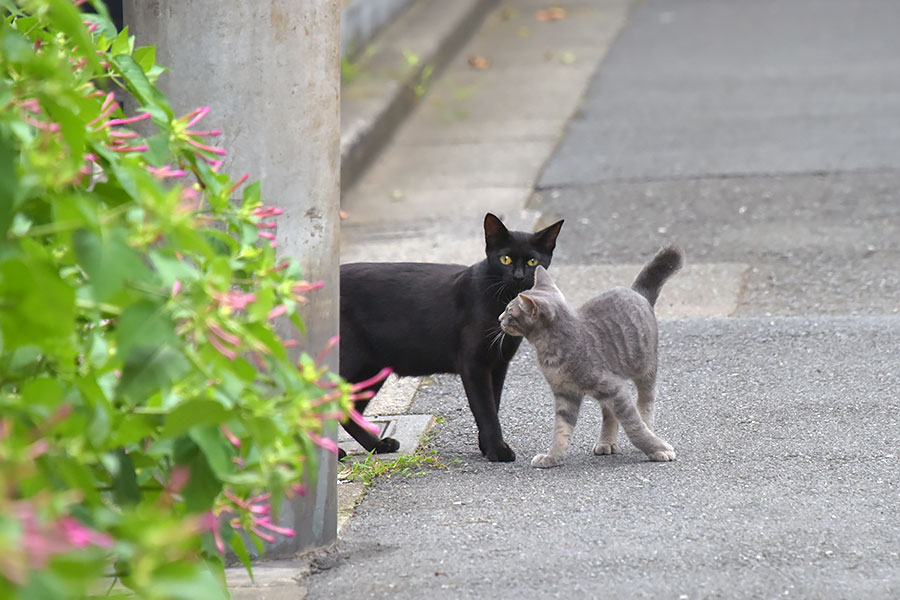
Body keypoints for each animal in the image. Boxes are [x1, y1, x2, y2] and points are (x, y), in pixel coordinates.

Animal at [340, 213, 564, 462]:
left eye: (532, 262)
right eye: (505, 259)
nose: (518, 276)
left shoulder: (498, 364)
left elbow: (493, 403)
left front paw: (486, 446)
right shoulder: (474, 364)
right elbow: (485, 409)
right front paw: (497, 450)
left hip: (371, 368)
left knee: (348, 409)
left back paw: (378, 445)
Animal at [500, 245, 684, 468]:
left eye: (510, 312)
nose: (499, 318)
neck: (552, 350)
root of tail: (636, 291)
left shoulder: (613, 388)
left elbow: (634, 425)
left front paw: (656, 448)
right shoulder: (566, 394)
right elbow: (561, 430)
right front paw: (552, 457)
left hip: (645, 369)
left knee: (645, 404)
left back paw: (648, 429)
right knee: (609, 413)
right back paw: (606, 442)